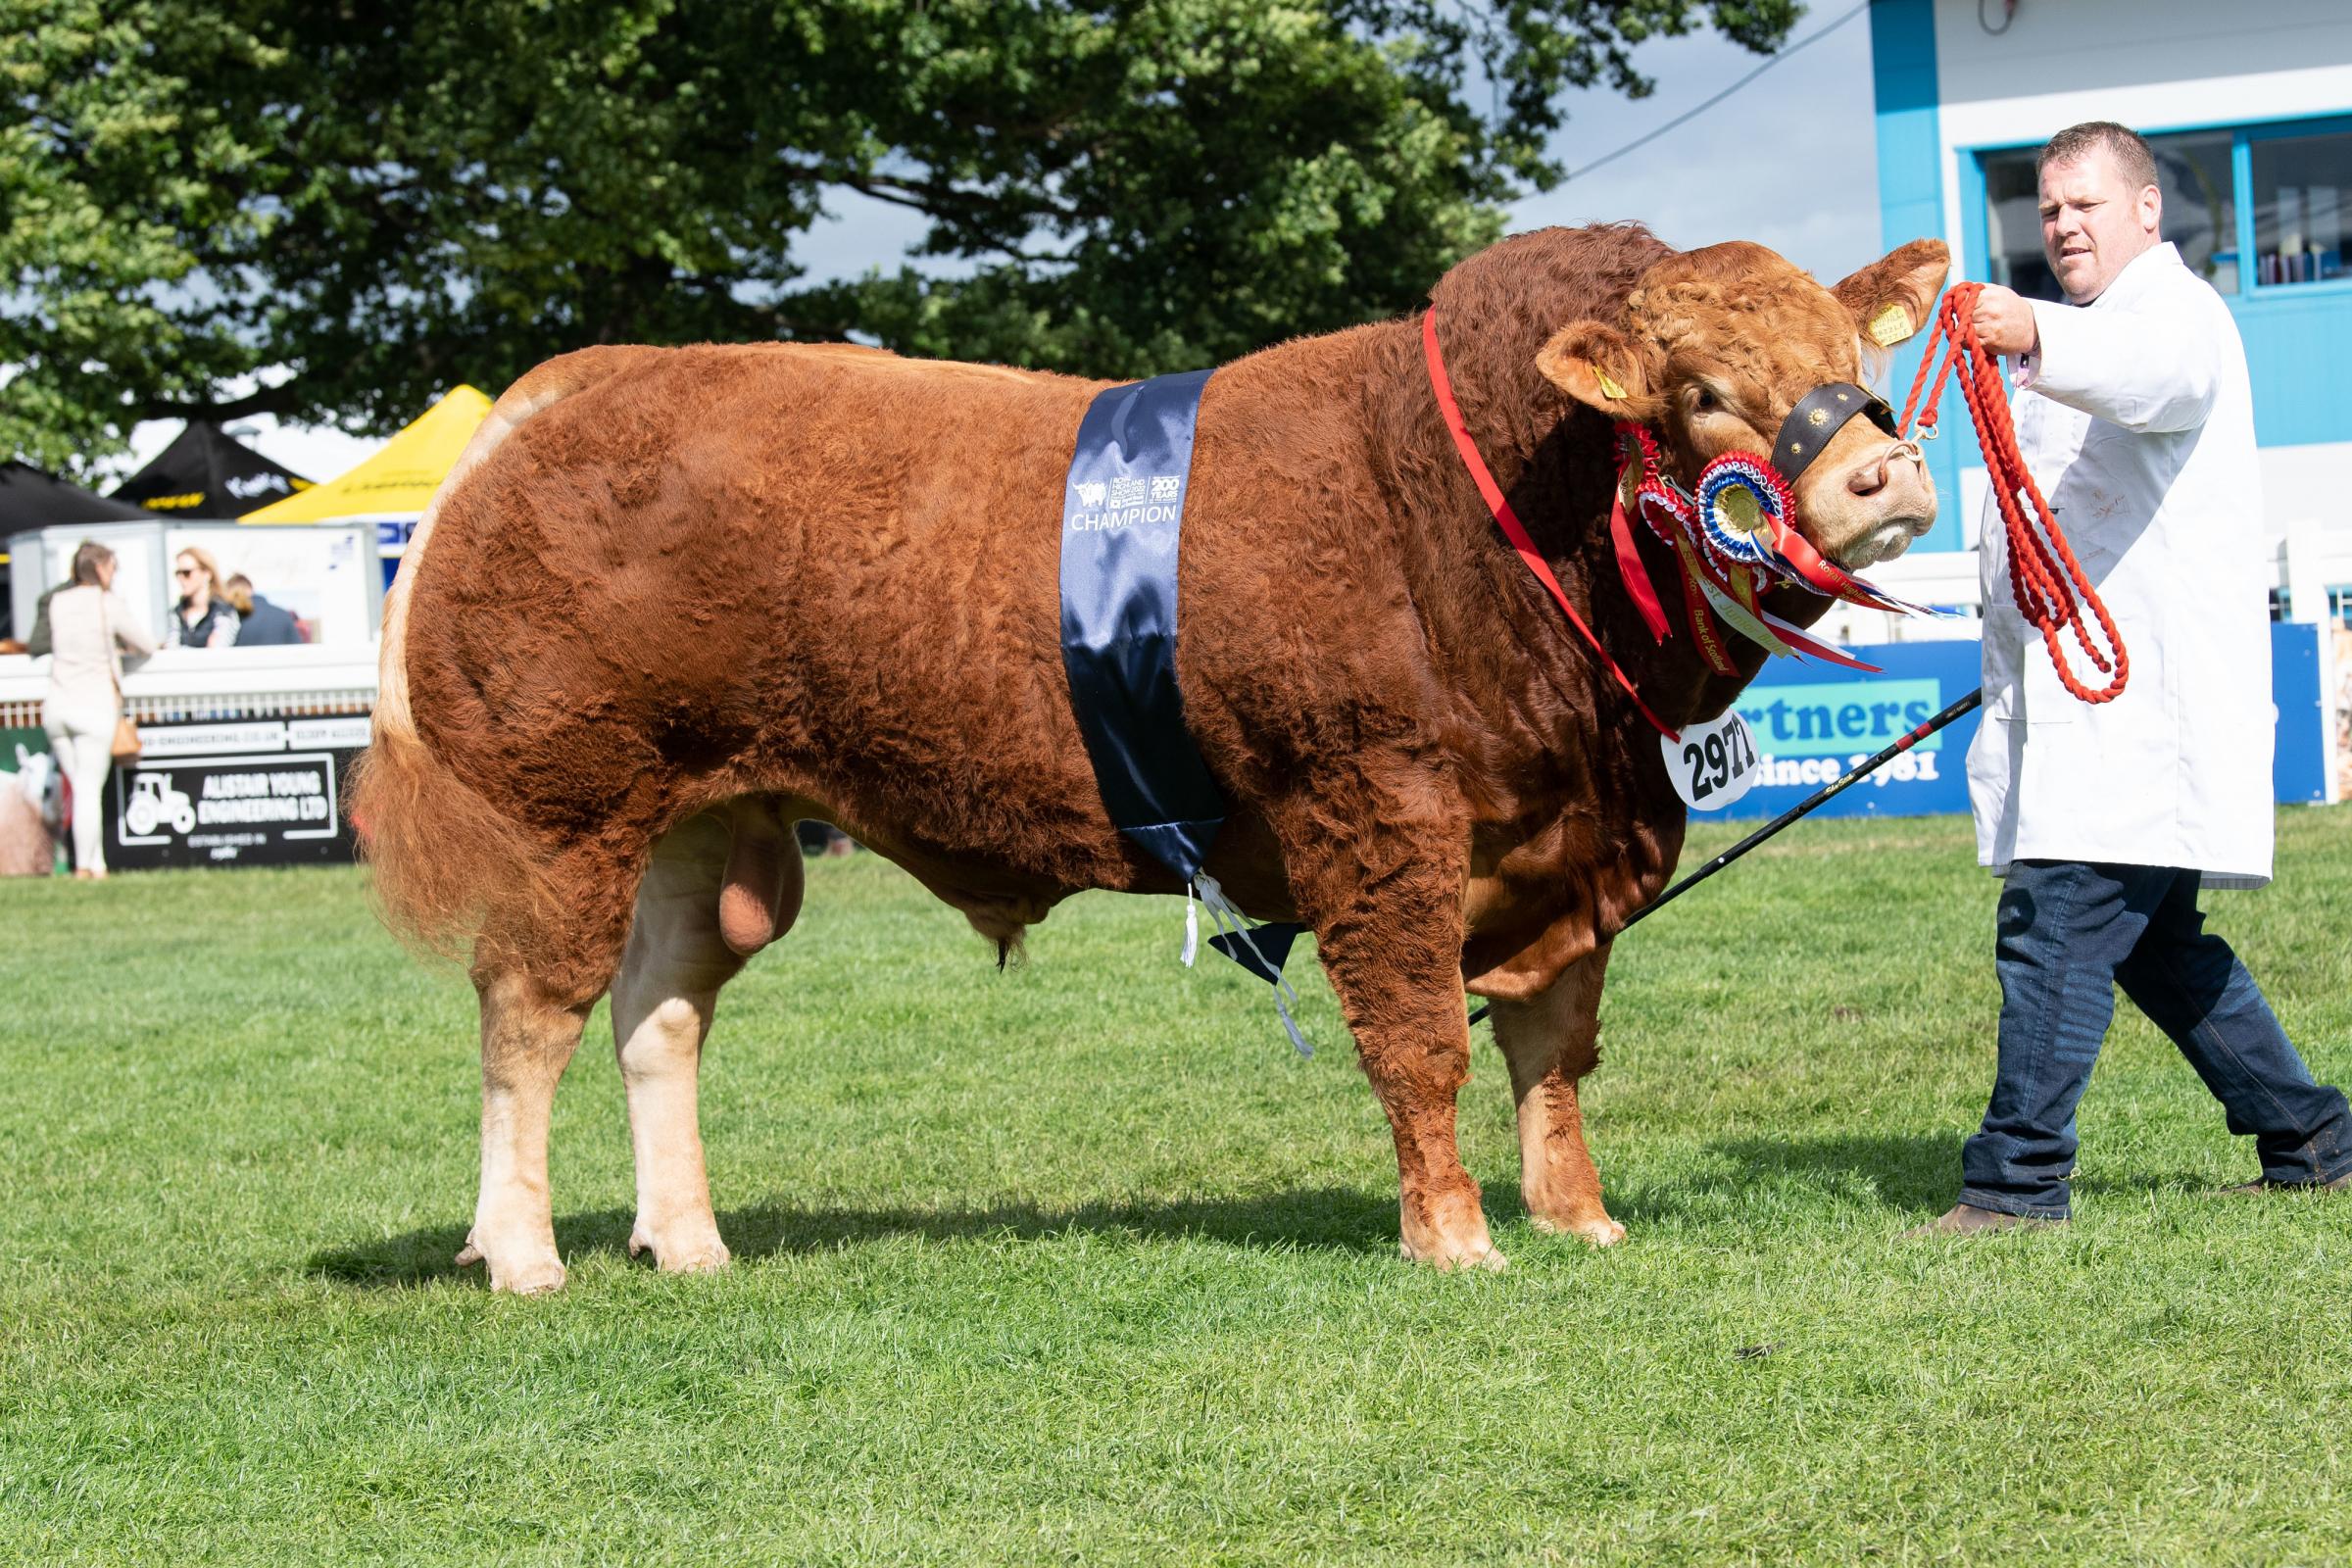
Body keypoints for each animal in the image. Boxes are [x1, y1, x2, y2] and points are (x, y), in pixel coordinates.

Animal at [357, 226, 1947, 1298]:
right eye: (1702, 393)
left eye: (1854, 361)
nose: (1885, 473)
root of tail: (571, 388)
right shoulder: (1375, 813)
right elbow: (1421, 1036)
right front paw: (1455, 1238)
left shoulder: (1568, 836)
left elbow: (1553, 1042)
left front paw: (1577, 1217)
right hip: (563, 817)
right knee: (528, 1017)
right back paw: (520, 1251)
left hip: (711, 822)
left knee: (659, 1014)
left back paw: (686, 1240)